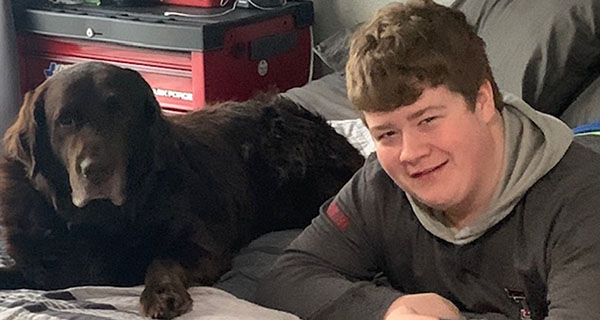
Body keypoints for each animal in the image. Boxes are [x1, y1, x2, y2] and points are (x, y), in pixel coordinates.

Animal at [0, 61, 366, 318]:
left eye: (120, 115)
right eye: (66, 120)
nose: (96, 171)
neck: (96, 220)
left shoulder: (205, 246)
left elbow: (161, 257)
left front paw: (162, 294)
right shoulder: (42, 269)